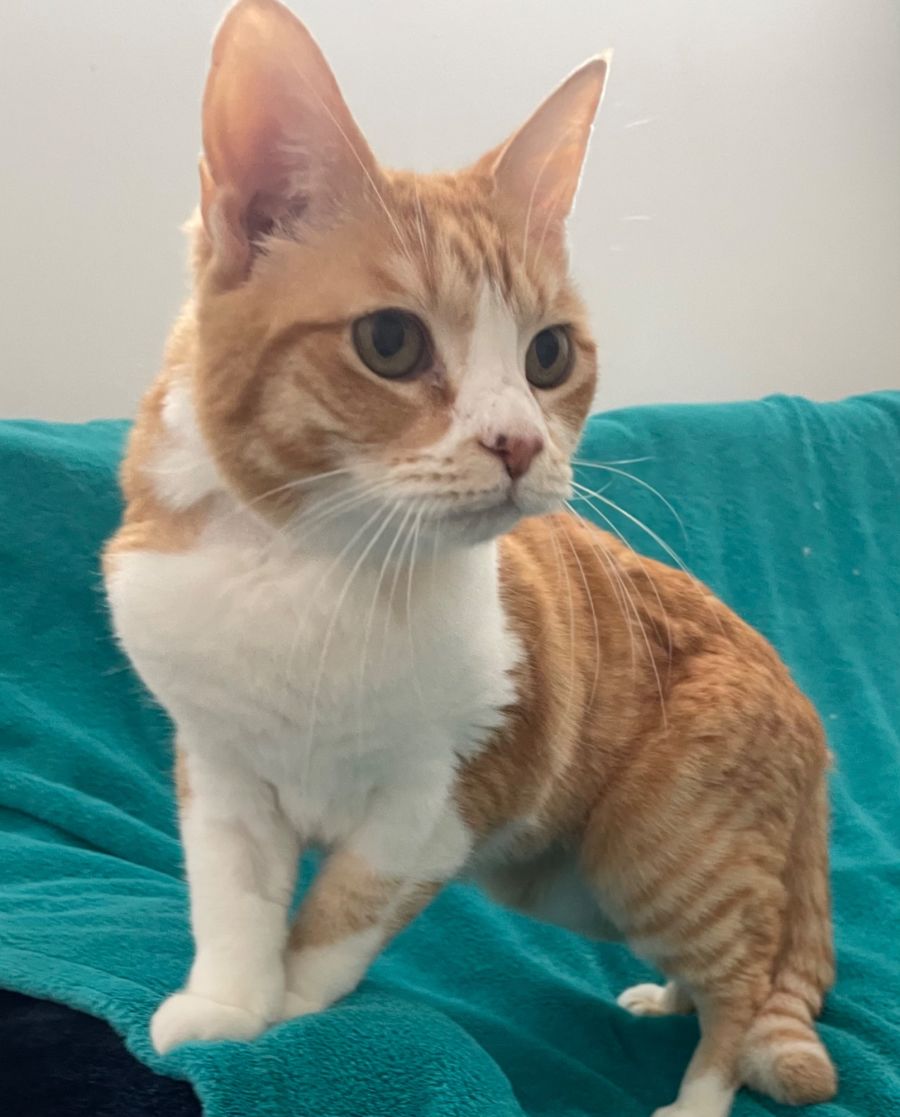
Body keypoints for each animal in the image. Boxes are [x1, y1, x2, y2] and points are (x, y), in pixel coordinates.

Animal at [103, 2, 836, 1115]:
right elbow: (233, 900)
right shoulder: (218, 768)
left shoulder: (443, 802)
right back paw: (665, 996)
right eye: (391, 343)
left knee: (746, 973)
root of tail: (804, 705)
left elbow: (339, 919)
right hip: (584, 884)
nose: (521, 443)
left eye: (549, 355)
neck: (309, 567)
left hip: (657, 851)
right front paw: (228, 1006)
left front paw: (291, 1016)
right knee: (724, 959)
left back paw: (699, 1091)